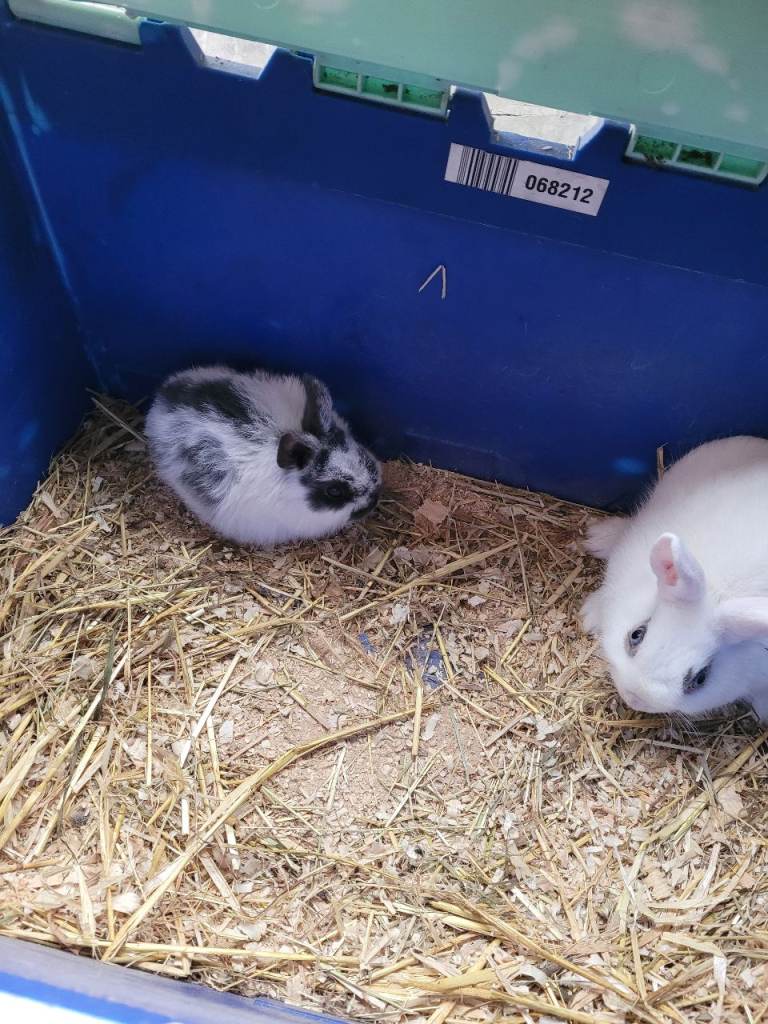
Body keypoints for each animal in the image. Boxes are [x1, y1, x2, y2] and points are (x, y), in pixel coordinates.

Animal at [581, 435, 768, 722]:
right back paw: (598, 537)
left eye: (700, 679)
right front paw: (588, 616)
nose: (634, 697)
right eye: (637, 634)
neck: (718, 590)